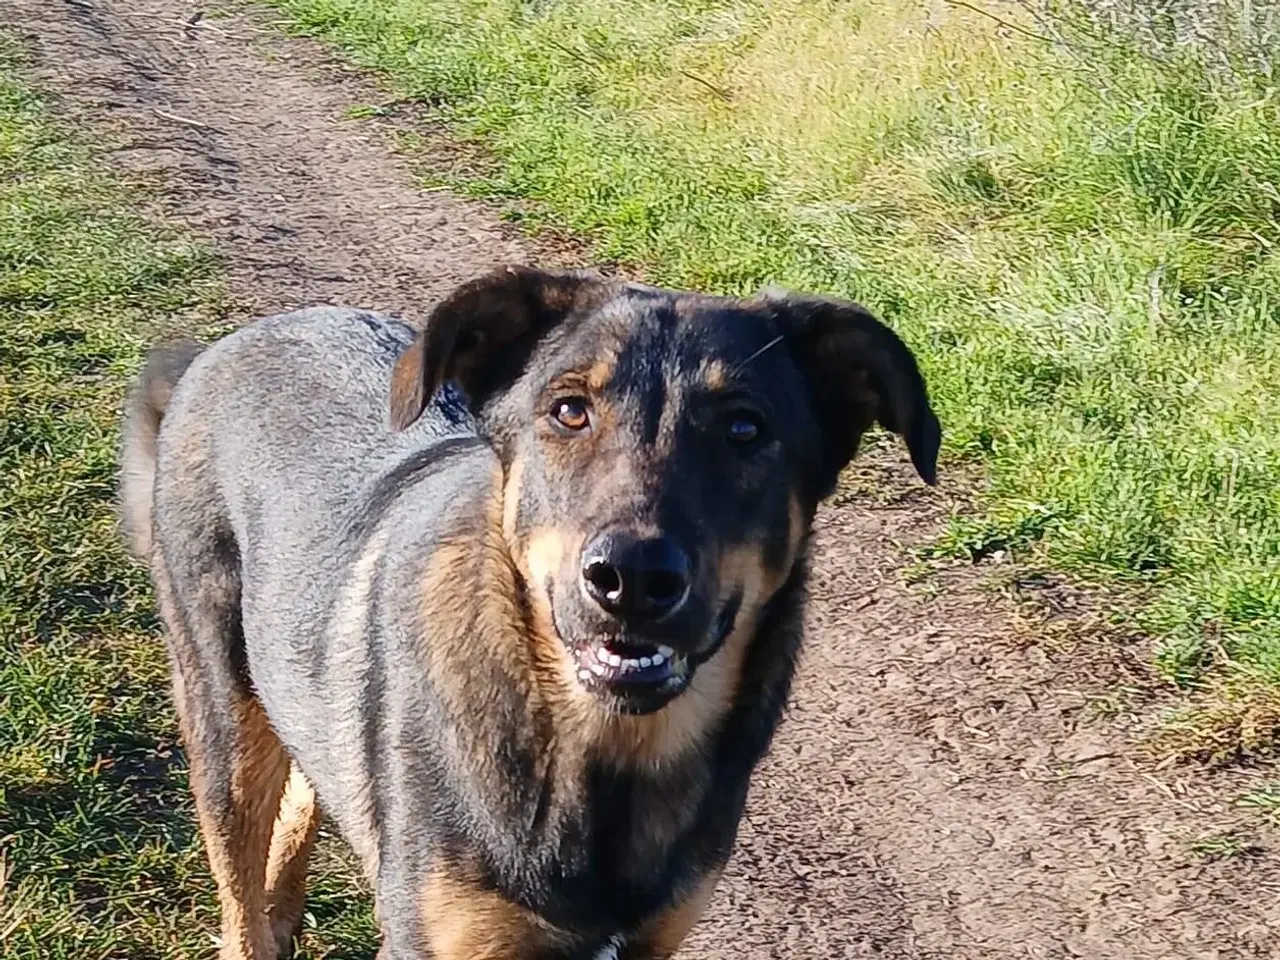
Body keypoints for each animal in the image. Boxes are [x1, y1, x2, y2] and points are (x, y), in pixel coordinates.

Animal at [120, 264, 942, 960]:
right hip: (223, 714)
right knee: (241, 877)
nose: (631, 578)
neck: (599, 752)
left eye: (746, 428)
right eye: (569, 410)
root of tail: (224, 347)